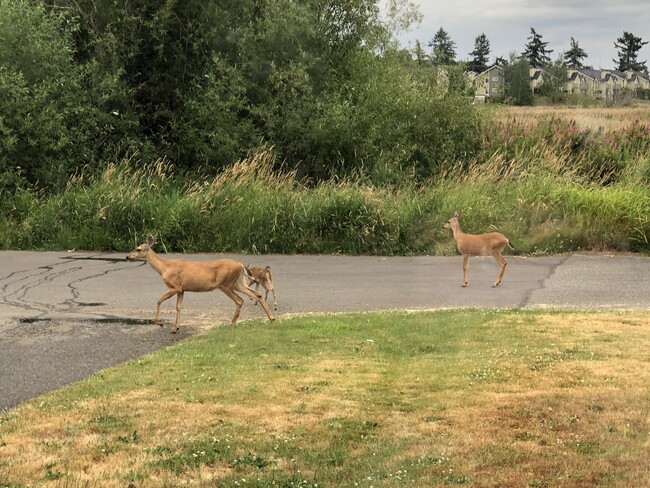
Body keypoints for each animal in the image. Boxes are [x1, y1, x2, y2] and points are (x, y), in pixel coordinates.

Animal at [124, 235, 274, 332]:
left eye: (138, 249)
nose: (127, 256)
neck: (164, 268)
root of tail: (241, 265)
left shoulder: (174, 286)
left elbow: (159, 300)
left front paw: (158, 321)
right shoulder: (182, 289)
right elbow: (178, 307)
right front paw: (176, 328)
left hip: (225, 284)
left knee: (240, 300)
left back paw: (232, 323)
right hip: (238, 283)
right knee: (257, 295)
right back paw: (271, 318)